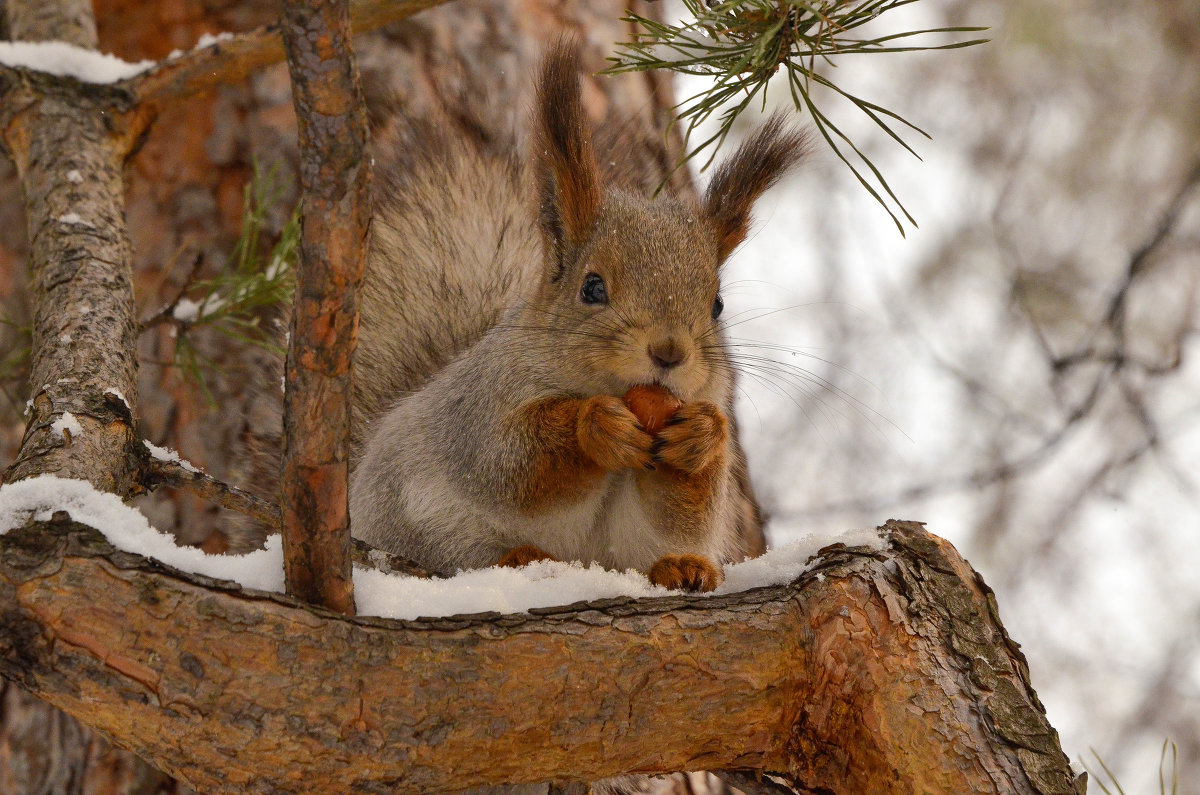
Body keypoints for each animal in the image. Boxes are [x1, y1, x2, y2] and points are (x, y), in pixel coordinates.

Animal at [348, 42, 806, 590]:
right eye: (592, 287)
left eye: (717, 304)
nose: (669, 352)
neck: (609, 388)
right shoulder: (482, 407)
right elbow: (512, 463)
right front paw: (595, 426)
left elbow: (684, 507)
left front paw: (702, 436)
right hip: (422, 524)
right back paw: (518, 557)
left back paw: (682, 565)